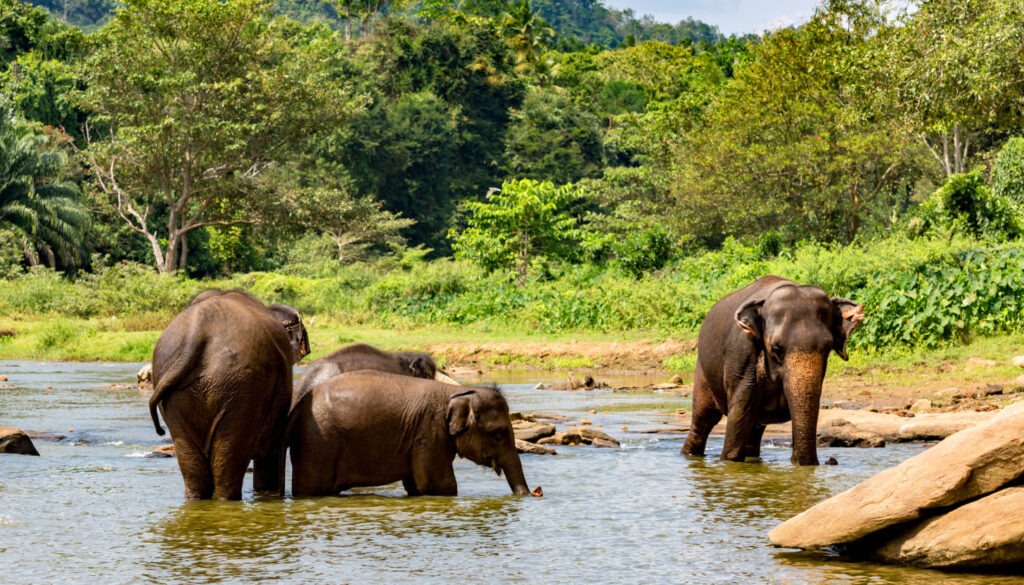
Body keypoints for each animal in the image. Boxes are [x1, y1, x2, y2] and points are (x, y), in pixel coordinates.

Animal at [286, 372, 532, 495]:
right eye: (499, 433)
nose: (536, 493)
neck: (456, 392)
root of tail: (299, 404)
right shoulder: (429, 432)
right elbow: (440, 485)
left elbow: (415, 485)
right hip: (319, 443)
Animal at [679, 276, 864, 467]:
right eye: (776, 349)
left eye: (827, 348)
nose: (831, 460)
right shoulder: (742, 352)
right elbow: (740, 409)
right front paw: (731, 462)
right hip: (703, 370)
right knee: (703, 421)